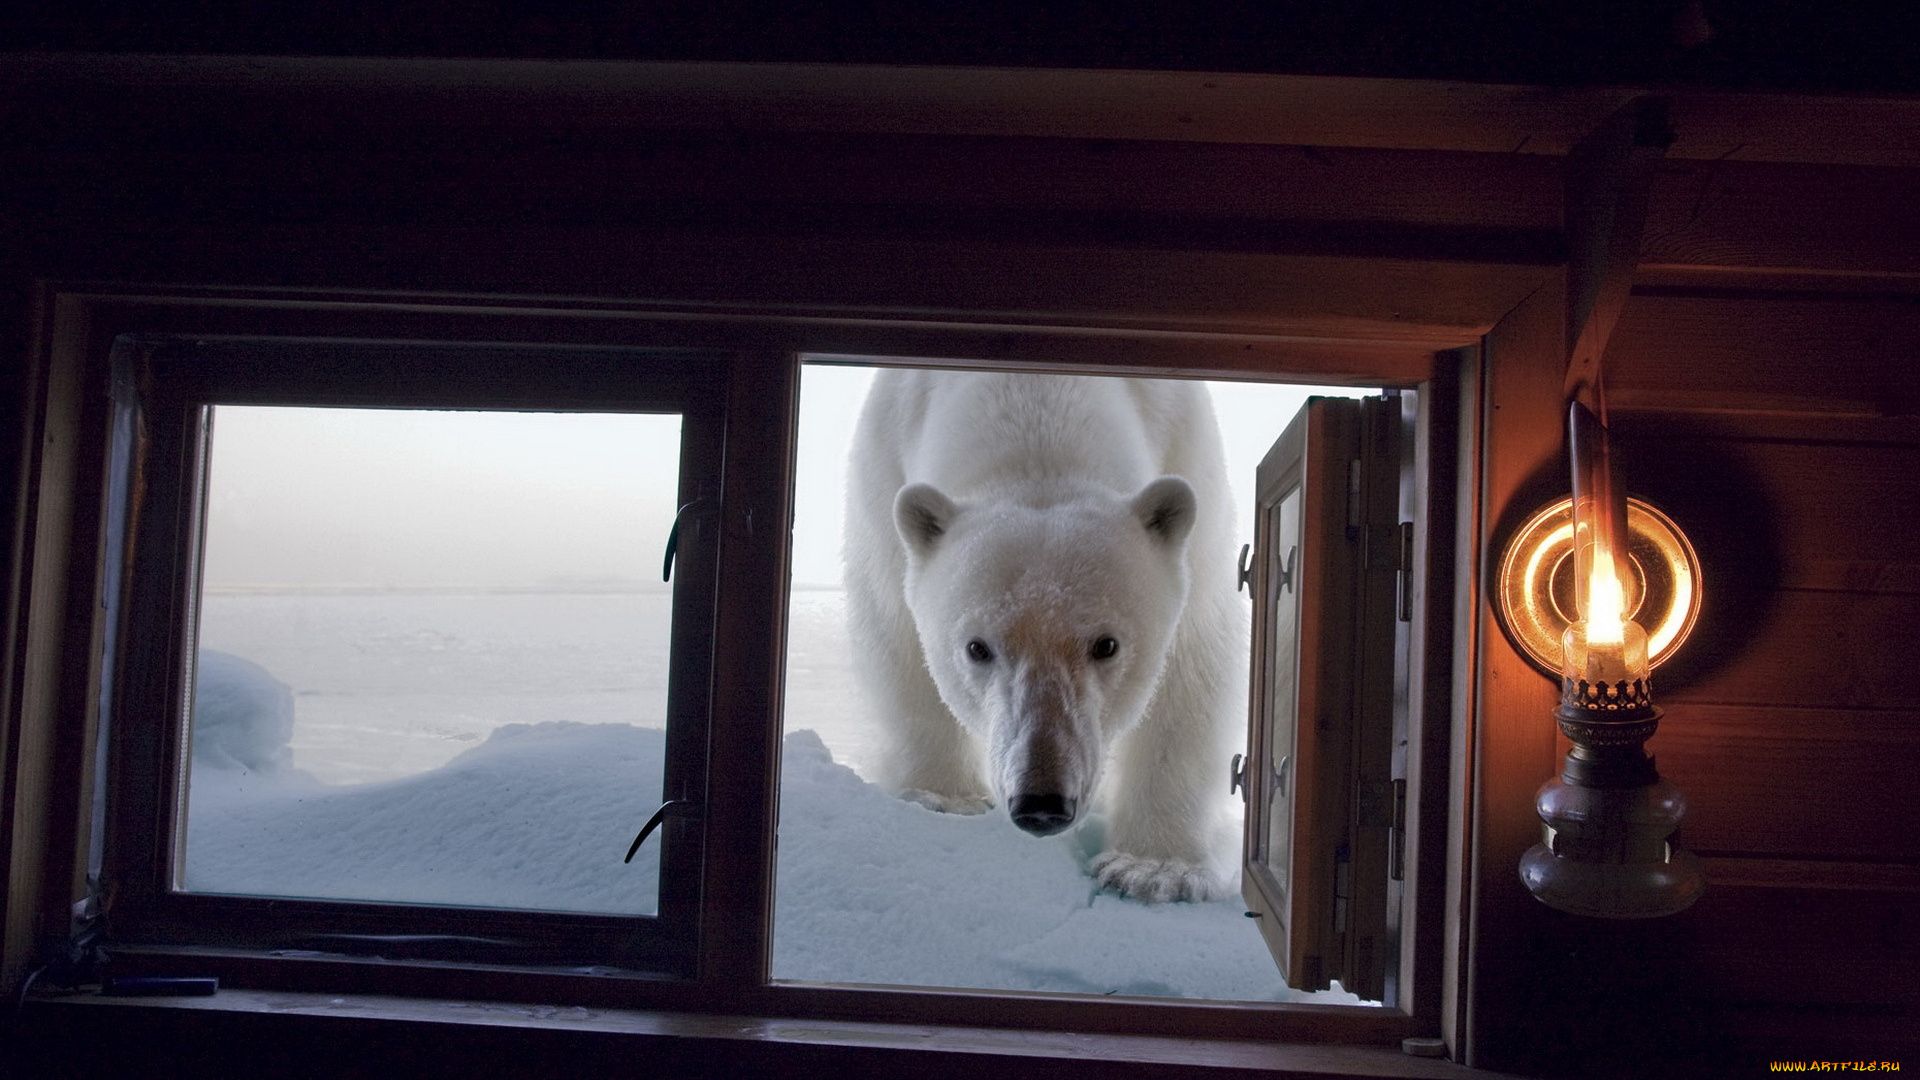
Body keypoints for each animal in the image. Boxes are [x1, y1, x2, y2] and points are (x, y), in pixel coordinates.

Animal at [844, 368, 1244, 899]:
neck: (1036, 395)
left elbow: (1191, 666)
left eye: (1106, 644)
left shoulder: (1188, 456)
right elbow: (897, 637)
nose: (1042, 803)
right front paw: (944, 797)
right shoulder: (883, 467)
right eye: (977, 648)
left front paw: (1153, 869)